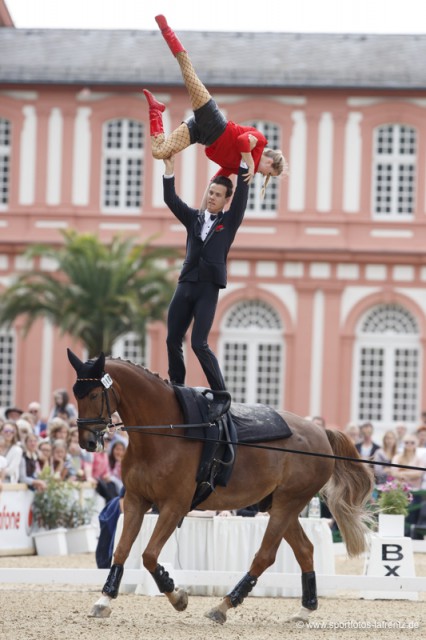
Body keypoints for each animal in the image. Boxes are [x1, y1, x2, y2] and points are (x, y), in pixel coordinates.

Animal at [67, 350, 372, 624]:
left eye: (94, 394)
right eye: (75, 395)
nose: (87, 442)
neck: (164, 432)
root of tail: (321, 433)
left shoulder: (174, 507)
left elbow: (149, 555)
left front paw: (177, 596)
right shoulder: (135, 500)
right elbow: (121, 550)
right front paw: (103, 600)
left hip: (287, 504)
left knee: (265, 556)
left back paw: (223, 606)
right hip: (279, 505)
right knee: (305, 550)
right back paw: (304, 610)